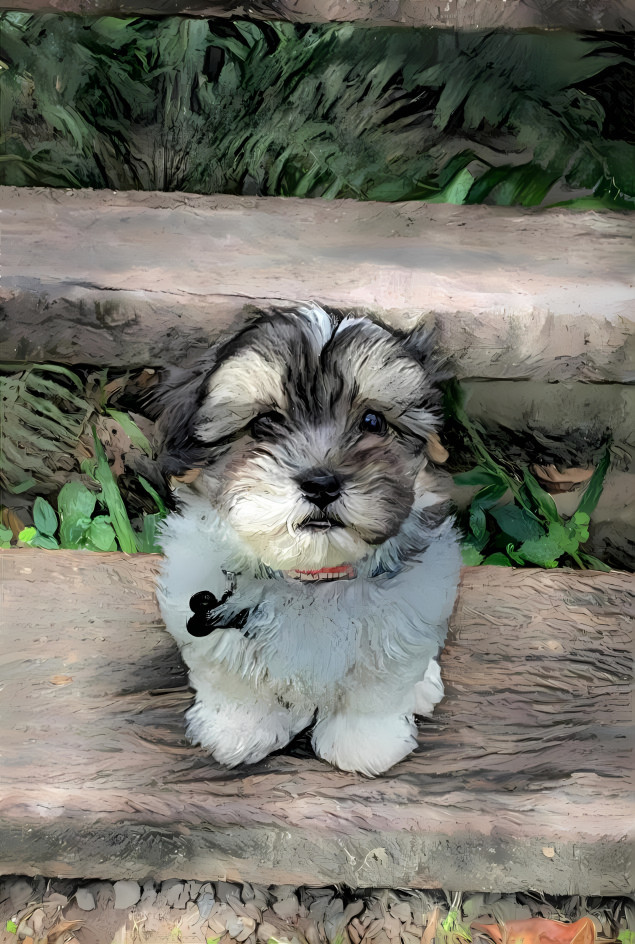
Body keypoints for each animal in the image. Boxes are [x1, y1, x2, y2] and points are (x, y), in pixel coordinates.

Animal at [155, 306, 462, 780]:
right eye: (263, 423)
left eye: (372, 422)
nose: (321, 483)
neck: (313, 577)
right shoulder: (202, 606)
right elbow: (233, 679)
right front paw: (239, 729)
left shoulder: (407, 615)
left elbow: (376, 688)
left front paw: (364, 745)